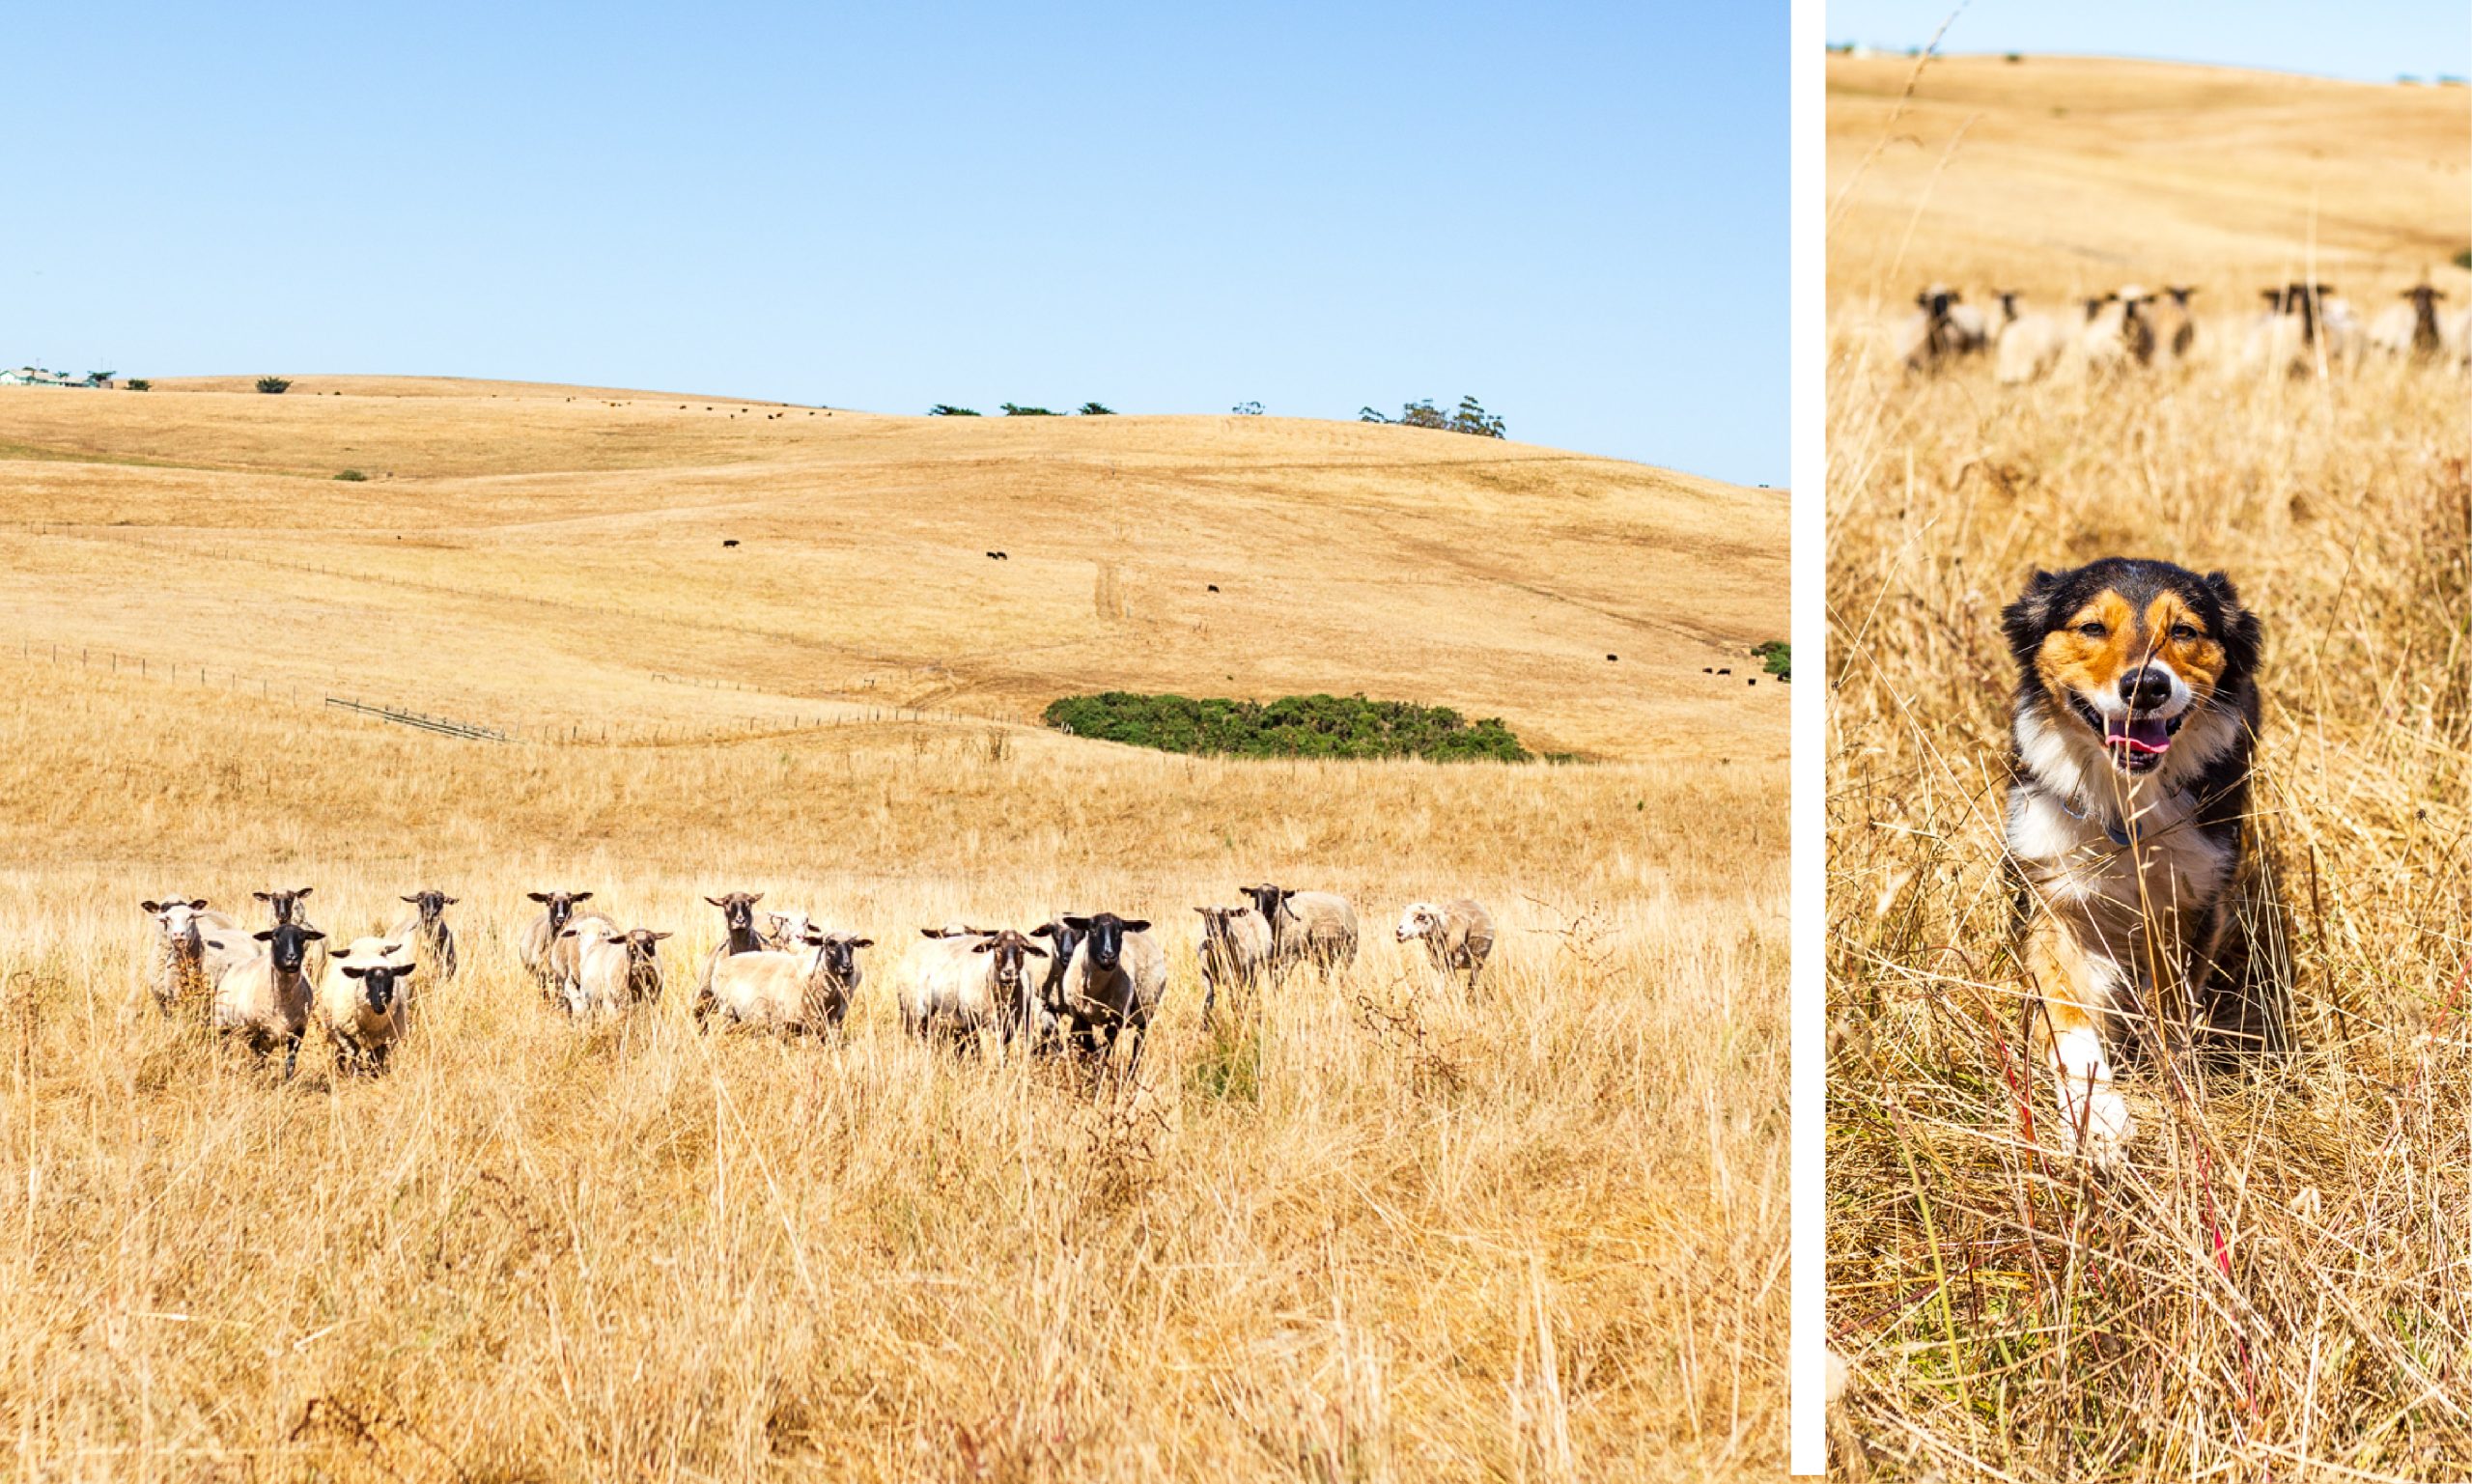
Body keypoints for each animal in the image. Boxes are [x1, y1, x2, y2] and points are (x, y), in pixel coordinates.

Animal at [210, 920, 327, 1074]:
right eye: (275, 936)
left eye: (302, 938)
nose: (292, 958)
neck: (284, 1002)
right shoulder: (256, 1031)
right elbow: (258, 1063)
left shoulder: (298, 1032)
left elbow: (290, 1063)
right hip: (222, 1023)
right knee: (223, 1047)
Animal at [317, 937, 418, 1073]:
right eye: (367, 978)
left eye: (391, 979)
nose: (380, 1004)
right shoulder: (343, 1033)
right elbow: (354, 1055)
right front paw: (352, 1073)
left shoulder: (387, 1039)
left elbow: (377, 1060)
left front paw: (376, 1074)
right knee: (341, 1052)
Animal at [703, 926, 873, 1034]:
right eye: (829, 944)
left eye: (852, 945)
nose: (847, 967)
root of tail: (723, 962)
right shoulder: (780, 1022)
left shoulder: (833, 1023)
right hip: (727, 1009)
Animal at [897, 927, 1047, 1049]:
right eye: (996, 947)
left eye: (1023, 949)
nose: (1010, 972)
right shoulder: (970, 1018)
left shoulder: (1011, 1021)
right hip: (913, 1008)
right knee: (915, 1033)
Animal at [1050, 913, 1168, 1069]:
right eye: (1092, 929)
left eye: (1120, 931)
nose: (1109, 956)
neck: (1095, 992)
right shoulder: (1080, 1016)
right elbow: (1089, 1046)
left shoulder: (1115, 1018)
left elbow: (1105, 1050)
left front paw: (1097, 1069)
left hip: (1146, 1014)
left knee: (1138, 1048)